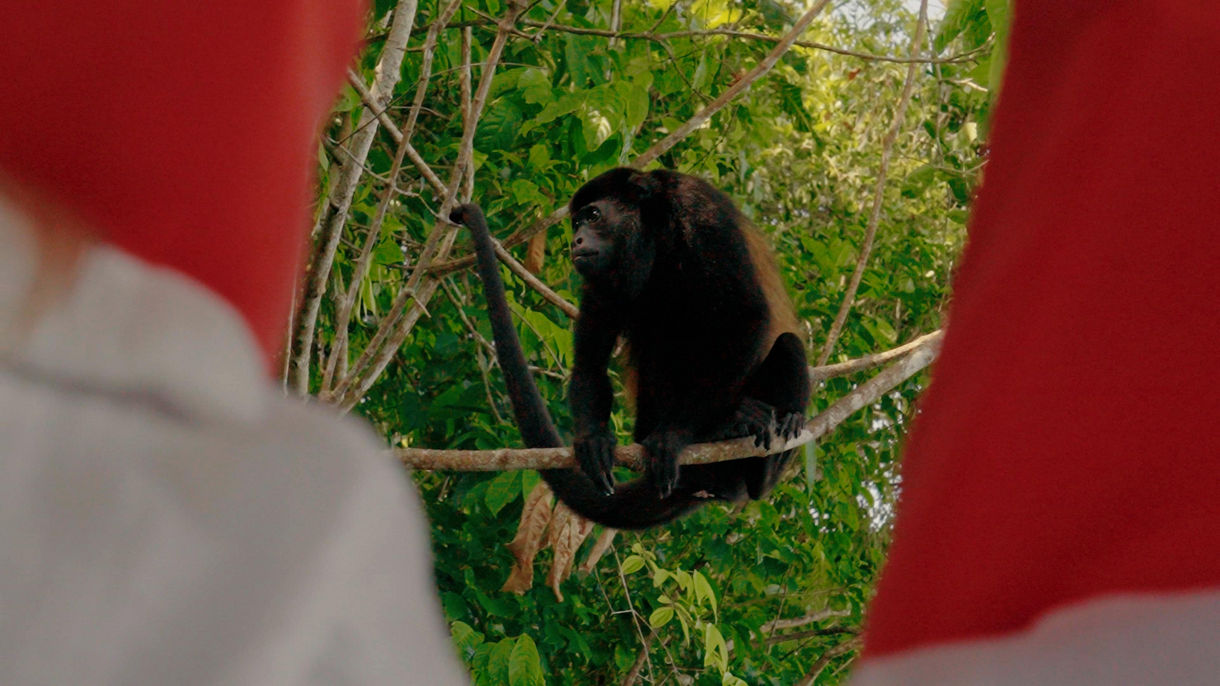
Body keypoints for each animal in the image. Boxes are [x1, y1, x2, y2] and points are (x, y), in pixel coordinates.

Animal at [450, 167, 810, 529]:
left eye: (593, 216)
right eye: (575, 224)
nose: (575, 241)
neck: (656, 234)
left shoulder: (701, 213)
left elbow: (750, 315)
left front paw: (676, 435)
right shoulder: (598, 279)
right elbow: (590, 364)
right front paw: (593, 439)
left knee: (788, 344)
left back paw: (758, 448)